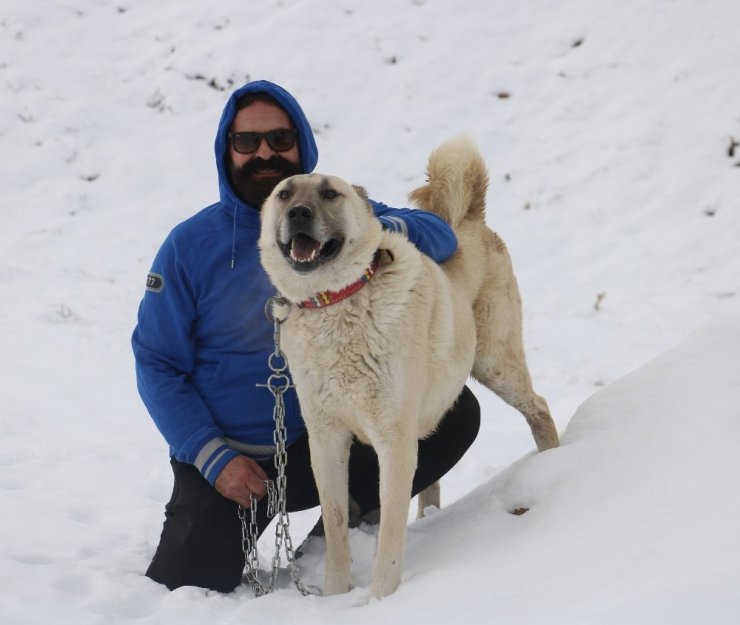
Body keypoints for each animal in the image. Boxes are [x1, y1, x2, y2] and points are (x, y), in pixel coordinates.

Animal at [258, 138, 556, 600]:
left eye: (330, 193)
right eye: (285, 194)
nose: (299, 214)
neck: (337, 303)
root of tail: (472, 218)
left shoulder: (393, 440)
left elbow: (389, 533)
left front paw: (381, 599)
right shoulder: (327, 441)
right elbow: (337, 527)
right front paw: (335, 596)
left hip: (496, 364)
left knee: (539, 407)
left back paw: (555, 460)